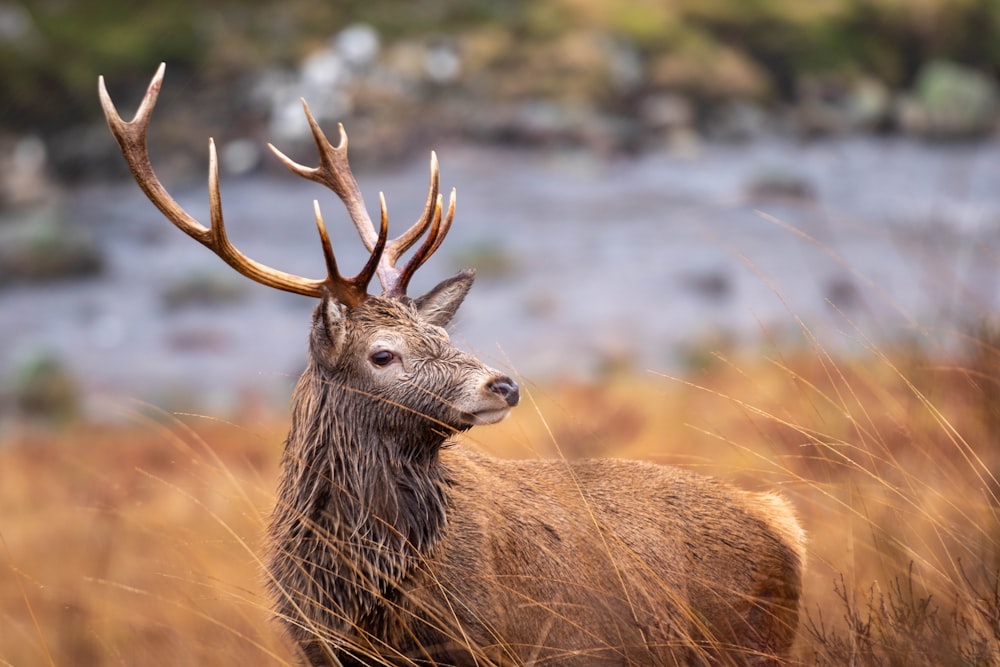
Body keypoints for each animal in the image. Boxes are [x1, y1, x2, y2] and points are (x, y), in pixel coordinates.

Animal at [99, 64, 804, 667]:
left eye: (442, 331)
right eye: (383, 354)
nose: (503, 383)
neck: (358, 596)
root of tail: (786, 524)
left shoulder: (489, 643)